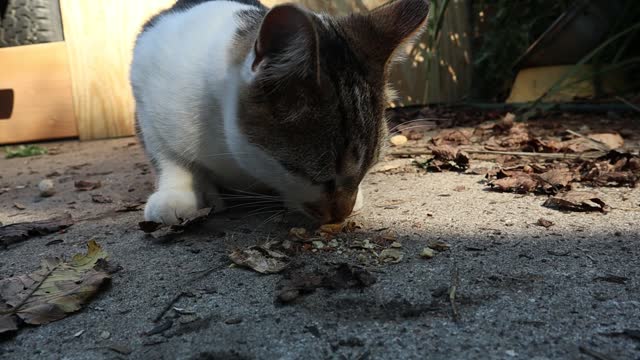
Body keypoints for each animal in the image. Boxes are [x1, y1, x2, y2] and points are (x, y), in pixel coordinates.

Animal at [130, 0, 430, 225]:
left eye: (368, 169)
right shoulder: (144, 87)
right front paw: (178, 193)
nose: (341, 214)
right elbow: (168, 155)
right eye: (317, 176)